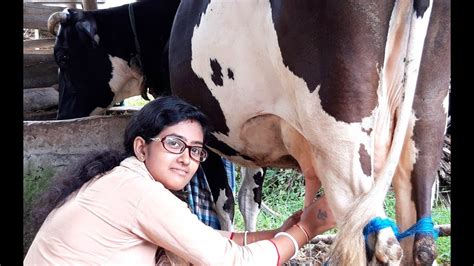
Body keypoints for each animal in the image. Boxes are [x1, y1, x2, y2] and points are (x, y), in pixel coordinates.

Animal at [168, 1, 450, 264]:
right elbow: (249, 197)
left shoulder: (207, 136)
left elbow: (225, 203)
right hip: (427, 117)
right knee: (421, 241)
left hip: (341, 138)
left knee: (377, 242)